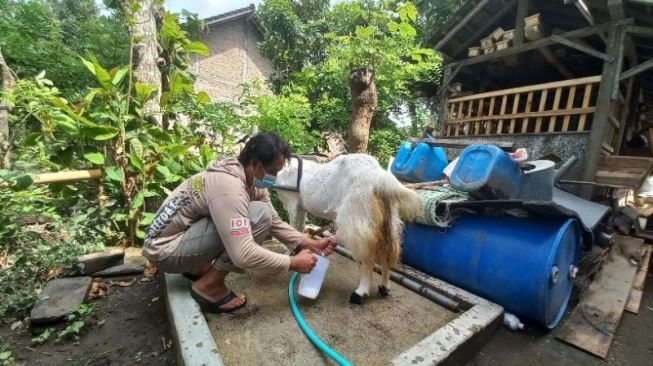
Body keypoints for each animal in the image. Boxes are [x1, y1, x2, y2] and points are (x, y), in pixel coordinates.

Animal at [274, 153, 418, 302]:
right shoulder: (302, 208)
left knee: (367, 255)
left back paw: (359, 293)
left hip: (358, 214)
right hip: (387, 220)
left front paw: (289, 252)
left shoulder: (292, 203)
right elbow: (299, 227)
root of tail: (380, 177)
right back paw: (384, 288)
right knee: (386, 251)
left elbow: (293, 225)